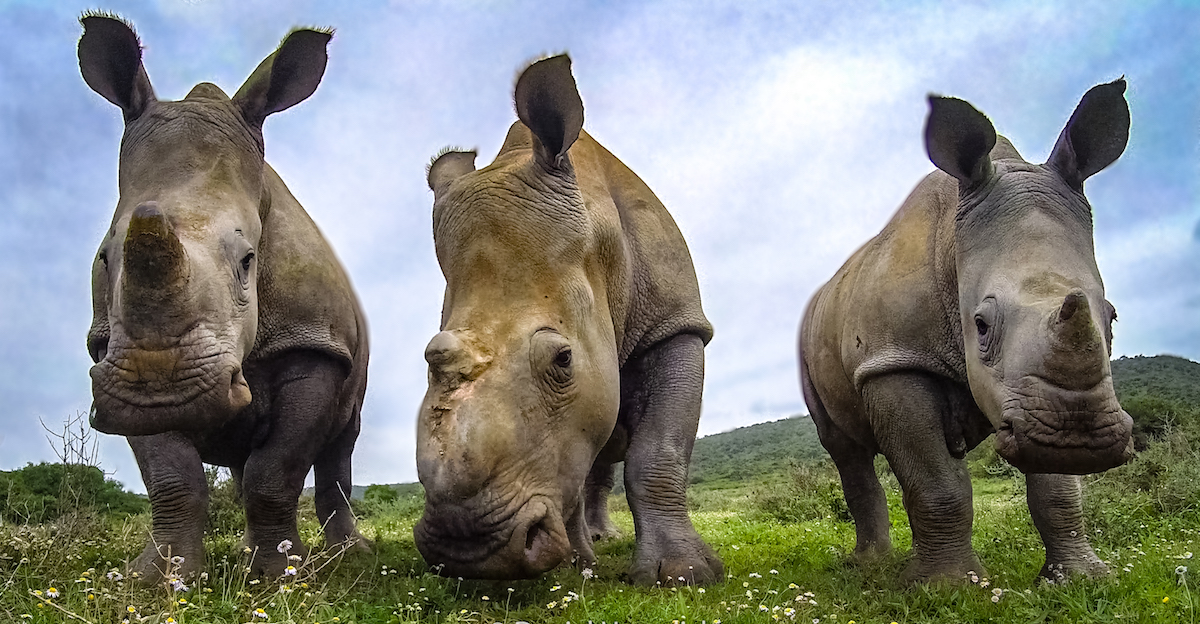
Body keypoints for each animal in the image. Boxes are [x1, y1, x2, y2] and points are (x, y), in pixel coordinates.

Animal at [79, 15, 368, 579]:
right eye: (103, 256)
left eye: (248, 260)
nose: (164, 389)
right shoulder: (112, 358)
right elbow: (172, 478)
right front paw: (159, 579)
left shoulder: (313, 345)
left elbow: (275, 472)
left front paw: (282, 578)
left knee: (341, 444)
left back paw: (349, 556)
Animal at [415, 55, 722, 585]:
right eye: (431, 357)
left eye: (562, 359)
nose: (466, 547)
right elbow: (572, 459)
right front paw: (579, 568)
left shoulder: (676, 325)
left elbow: (658, 450)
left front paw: (683, 576)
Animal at [798, 80, 1135, 582]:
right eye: (980, 324)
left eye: (1111, 318)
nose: (1078, 438)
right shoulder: (894, 360)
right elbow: (936, 481)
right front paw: (948, 586)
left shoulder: (1029, 395)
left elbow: (1056, 489)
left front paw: (1080, 577)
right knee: (846, 449)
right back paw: (871, 566)